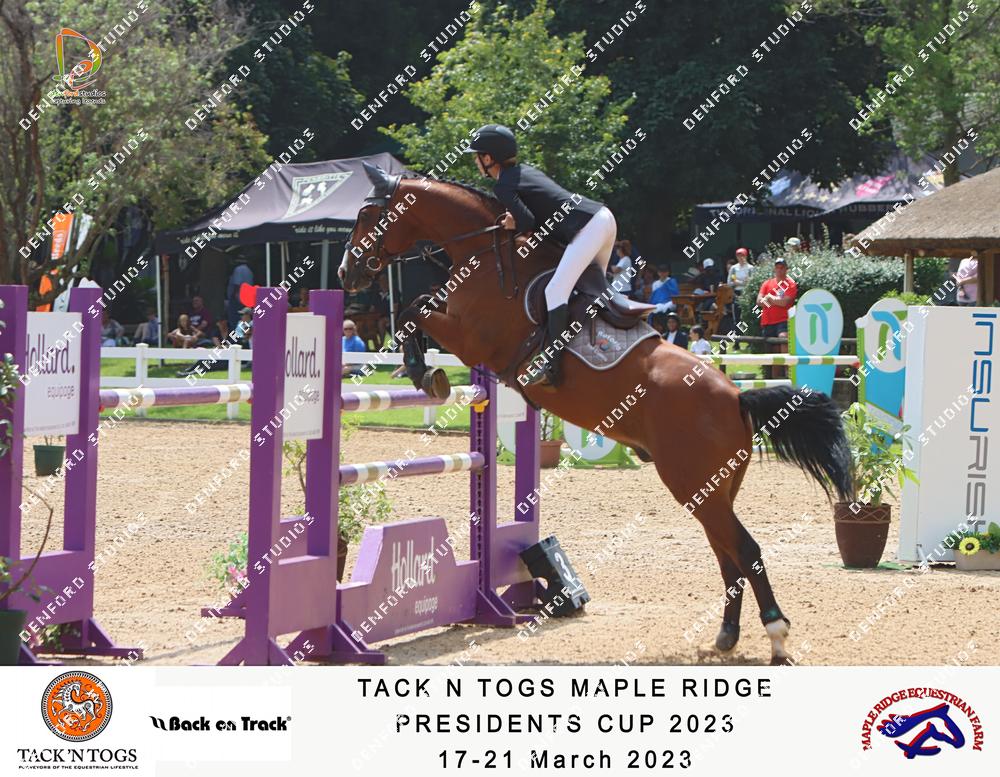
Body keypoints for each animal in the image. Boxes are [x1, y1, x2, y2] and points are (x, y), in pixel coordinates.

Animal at [340, 165, 852, 665]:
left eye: (367, 215)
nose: (347, 273)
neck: (486, 255)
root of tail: (735, 398)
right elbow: (417, 307)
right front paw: (425, 372)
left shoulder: (472, 338)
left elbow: (415, 309)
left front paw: (425, 374)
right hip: (714, 487)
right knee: (726, 552)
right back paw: (725, 637)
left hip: (693, 482)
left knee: (744, 549)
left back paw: (777, 637)